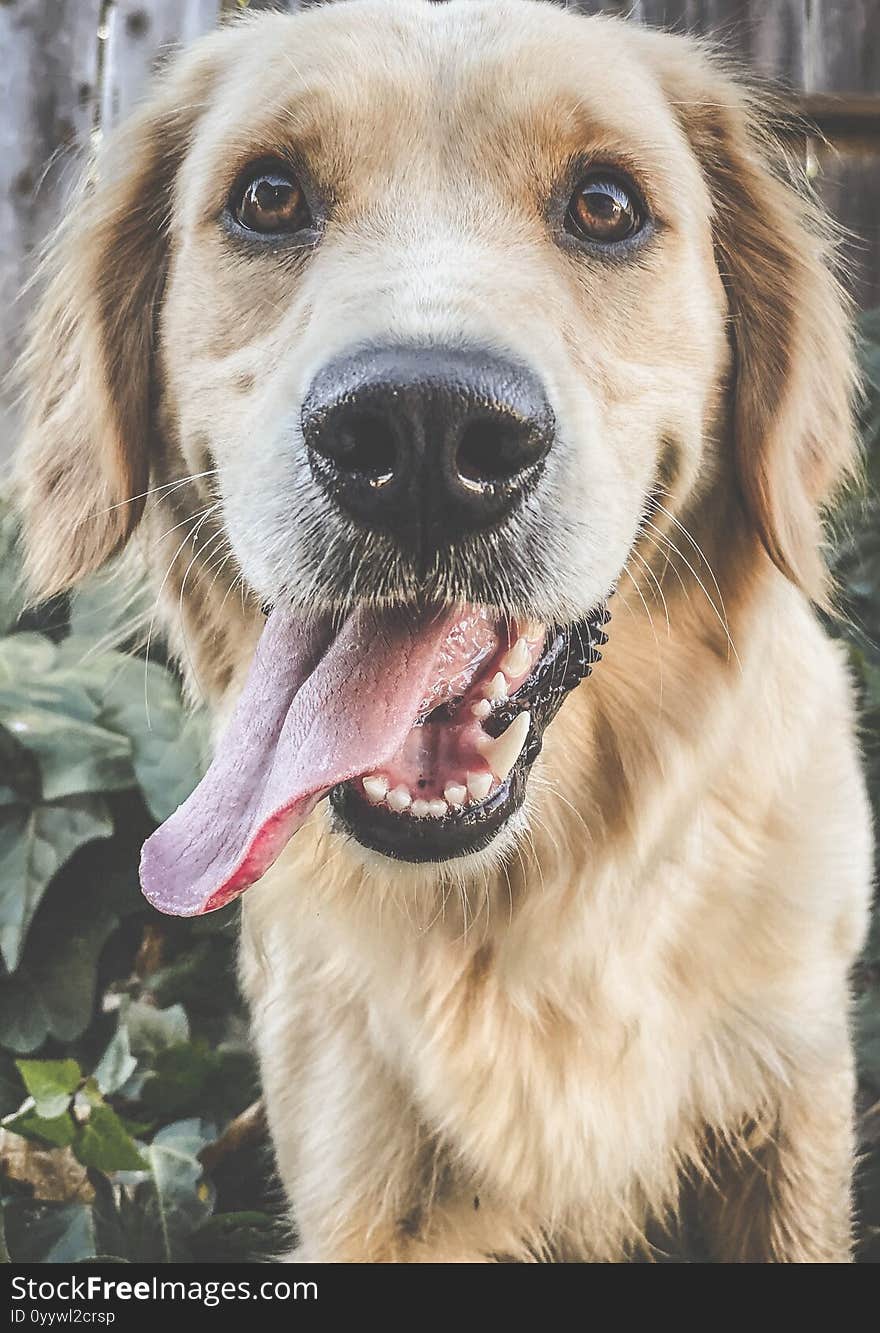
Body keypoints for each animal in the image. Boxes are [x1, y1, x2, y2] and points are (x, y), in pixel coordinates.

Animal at [13, 0, 874, 1258]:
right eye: (267, 196)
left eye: (605, 205)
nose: (424, 431)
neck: (525, 890)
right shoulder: (357, 1175)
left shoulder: (791, 1098)